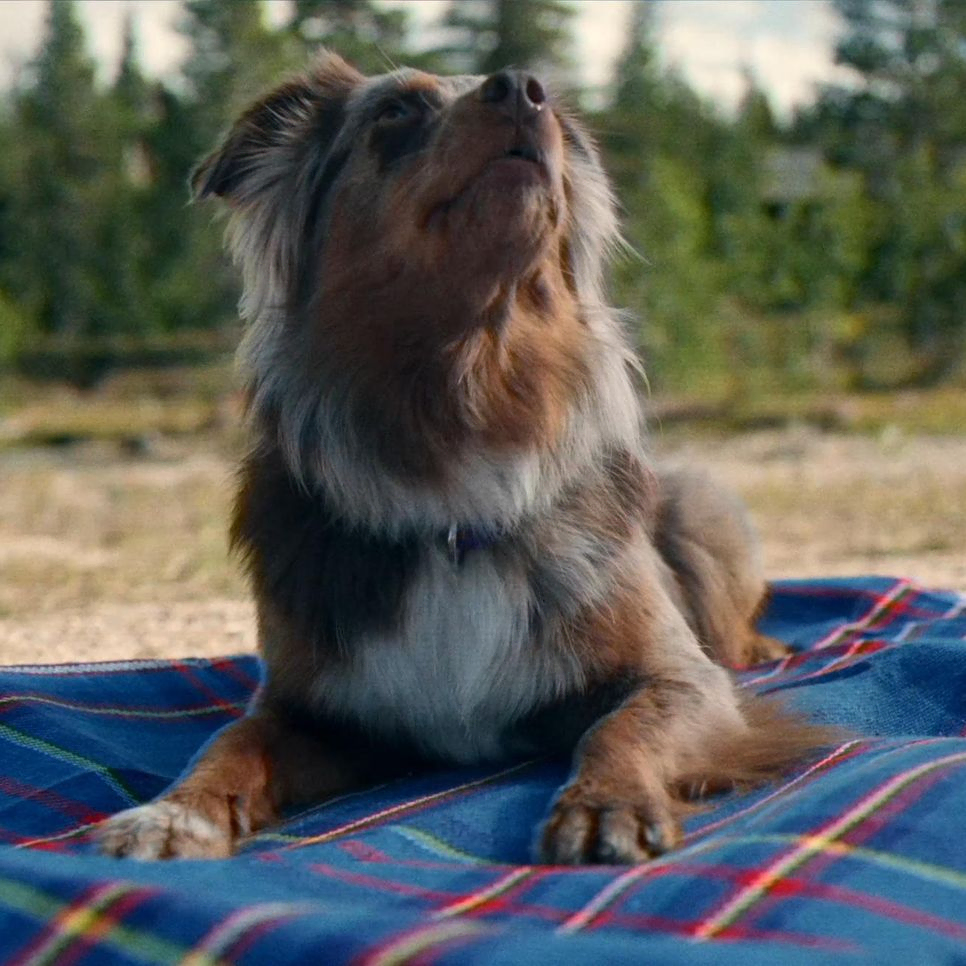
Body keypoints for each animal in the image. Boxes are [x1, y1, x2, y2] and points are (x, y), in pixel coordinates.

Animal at [94, 53, 828, 864]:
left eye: (555, 112)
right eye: (395, 112)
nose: (523, 88)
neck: (468, 386)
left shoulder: (682, 679)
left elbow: (621, 725)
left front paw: (606, 803)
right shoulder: (318, 712)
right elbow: (230, 742)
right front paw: (170, 815)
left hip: (706, 504)